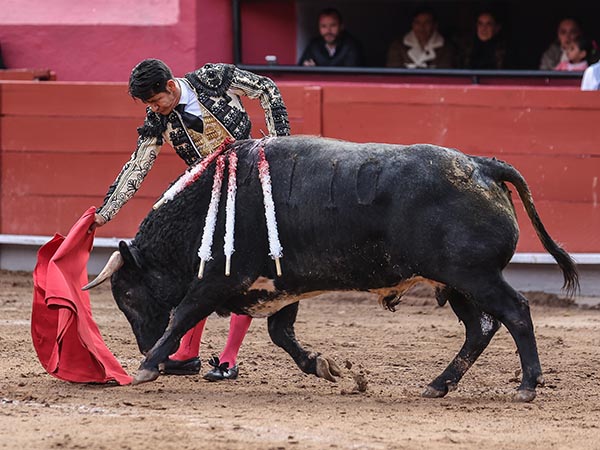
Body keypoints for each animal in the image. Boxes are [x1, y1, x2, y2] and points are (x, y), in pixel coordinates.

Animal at [84, 135, 576, 402]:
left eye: (127, 295)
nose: (144, 344)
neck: (204, 208)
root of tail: (483, 165)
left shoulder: (217, 281)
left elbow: (182, 316)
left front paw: (147, 365)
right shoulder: (281, 285)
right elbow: (281, 334)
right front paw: (324, 366)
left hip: (475, 276)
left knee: (515, 313)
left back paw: (527, 385)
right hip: (456, 283)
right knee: (481, 328)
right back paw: (438, 384)